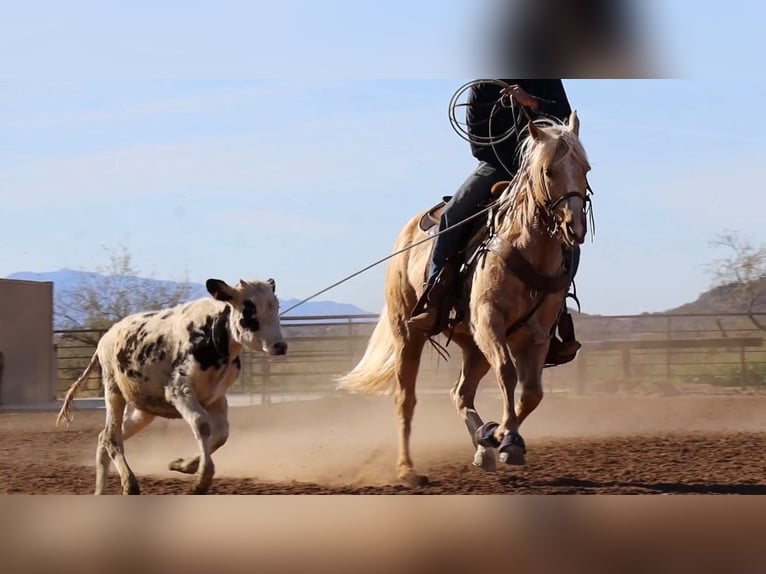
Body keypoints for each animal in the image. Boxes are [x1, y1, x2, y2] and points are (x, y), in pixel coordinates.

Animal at [336, 111, 592, 486]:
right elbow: (507, 373)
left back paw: (482, 442)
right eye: (549, 171)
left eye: (585, 168)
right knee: (405, 398)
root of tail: (404, 238)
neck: (524, 246)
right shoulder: (489, 319)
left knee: (460, 393)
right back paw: (407, 469)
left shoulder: (537, 333)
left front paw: (499, 437)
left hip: (473, 345)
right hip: (409, 334)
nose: (576, 227)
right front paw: (507, 440)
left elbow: (532, 392)